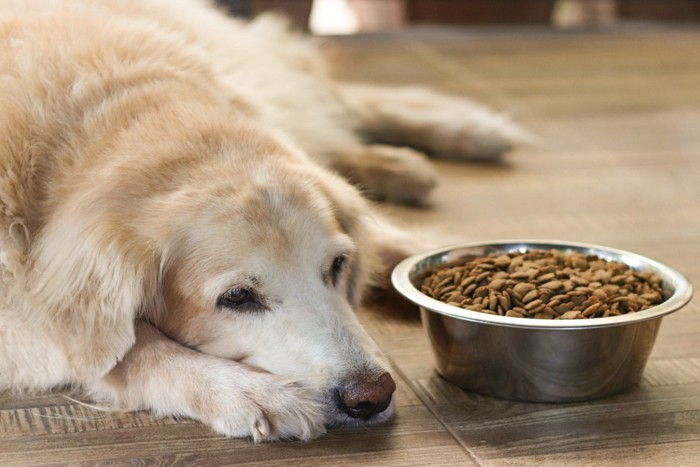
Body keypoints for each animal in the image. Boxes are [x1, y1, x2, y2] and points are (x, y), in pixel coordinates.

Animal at [0, 0, 524, 442]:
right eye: (236, 298)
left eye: (337, 266)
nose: (371, 396)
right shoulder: (23, 314)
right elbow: (129, 348)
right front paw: (246, 391)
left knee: (332, 103)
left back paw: (460, 132)